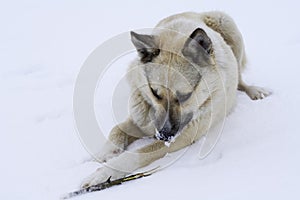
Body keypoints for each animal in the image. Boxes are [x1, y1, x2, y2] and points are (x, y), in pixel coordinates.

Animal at [81, 11, 270, 188]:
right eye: (155, 93)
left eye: (184, 96)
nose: (163, 135)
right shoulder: (142, 120)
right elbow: (116, 130)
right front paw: (102, 155)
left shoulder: (183, 136)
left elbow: (137, 153)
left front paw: (104, 173)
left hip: (226, 23)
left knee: (240, 79)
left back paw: (254, 91)